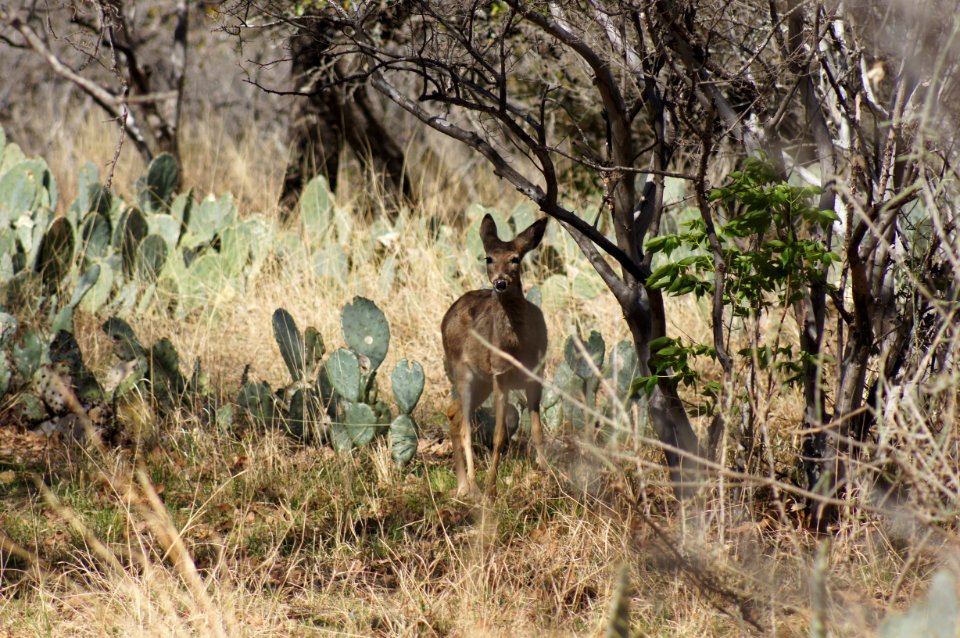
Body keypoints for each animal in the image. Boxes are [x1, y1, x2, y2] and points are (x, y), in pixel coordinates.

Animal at [440, 215, 548, 500]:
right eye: (489, 258)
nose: (500, 283)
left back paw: (463, 484)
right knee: (464, 423)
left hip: (481, 382)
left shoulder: (536, 375)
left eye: (516, 259)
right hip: (463, 372)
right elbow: (499, 436)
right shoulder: (501, 375)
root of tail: (447, 316)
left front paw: (551, 475)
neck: (518, 344)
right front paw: (491, 488)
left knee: (454, 412)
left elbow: (537, 431)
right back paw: (473, 486)